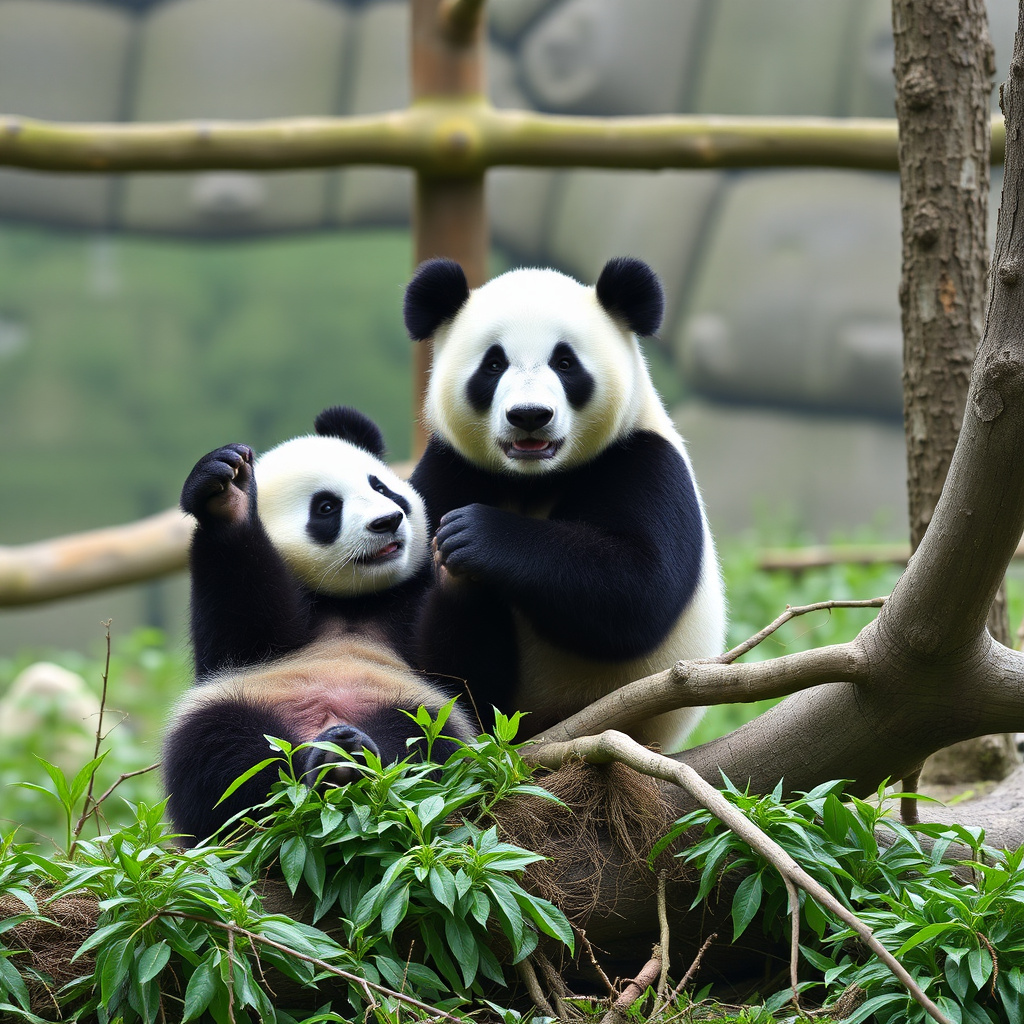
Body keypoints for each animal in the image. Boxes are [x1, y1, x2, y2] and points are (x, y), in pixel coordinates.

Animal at [163, 406, 474, 845]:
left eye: (381, 487)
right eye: (326, 508)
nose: (388, 521)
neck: (352, 601)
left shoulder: (409, 601)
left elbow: (456, 670)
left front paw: (457, 555)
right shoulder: (250, 638)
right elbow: (235, 636)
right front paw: (226, 494)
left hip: (405, 702)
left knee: (426, 742)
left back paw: (352, 755)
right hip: (248, 703)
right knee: (220, 754)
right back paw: (322, 767)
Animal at [404, 257, 726, 752]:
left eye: (565, 362)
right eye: (493, 364)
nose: (529, 415)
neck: (533, 479)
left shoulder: (645, 460)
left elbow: (637, 587)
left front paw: (474, 536)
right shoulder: (449, 469)